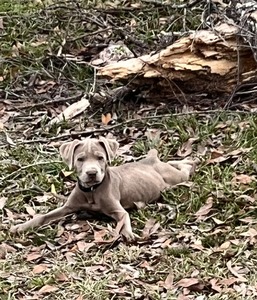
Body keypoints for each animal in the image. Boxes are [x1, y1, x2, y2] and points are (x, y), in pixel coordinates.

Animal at [9, 138, 194, 239]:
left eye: (100, 158)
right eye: (80, 159)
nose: (92, 173)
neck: (92, 191)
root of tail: (151, 158)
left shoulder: (119, 211)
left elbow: (124, 220)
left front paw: (128, 233)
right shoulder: (67, 207)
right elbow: (43, 216)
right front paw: (21, 227)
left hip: (175, 178)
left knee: (185, 169)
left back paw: (191, 161)